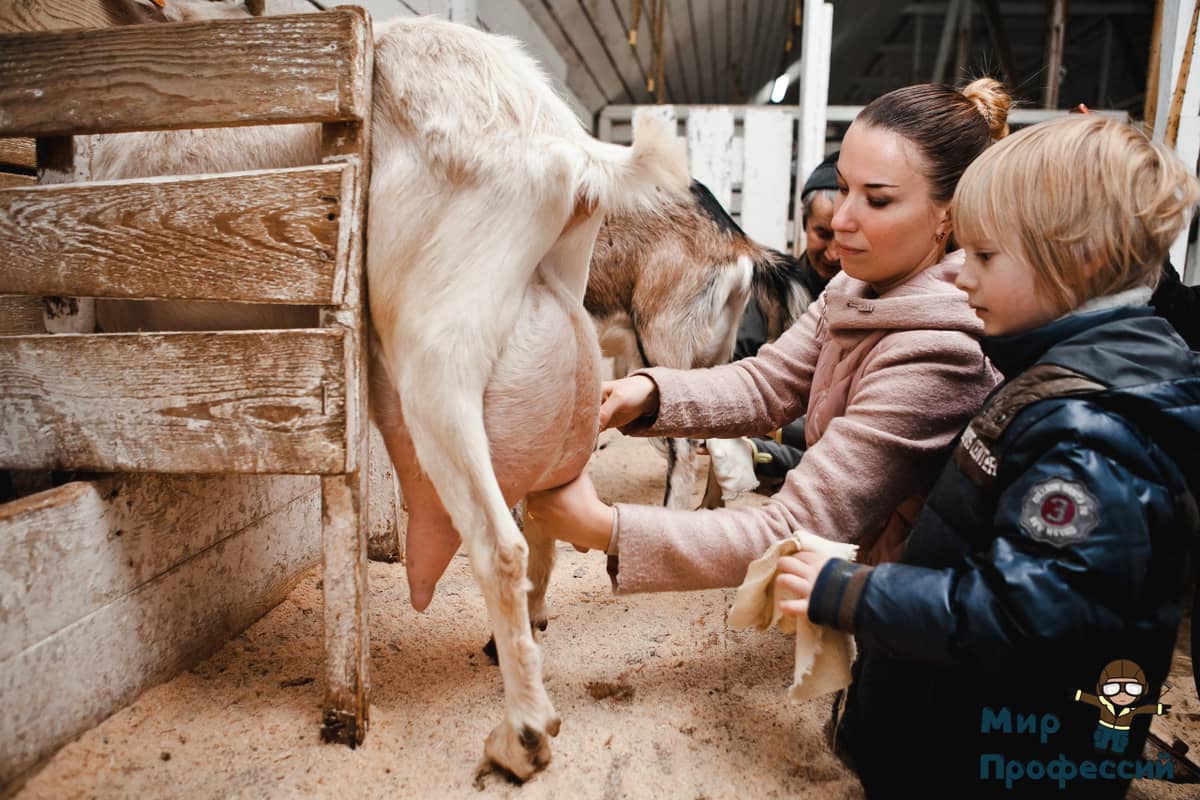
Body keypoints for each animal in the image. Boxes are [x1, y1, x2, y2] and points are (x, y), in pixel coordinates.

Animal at [99, 0, 691, 777]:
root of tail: (568, 151)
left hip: (437, 359)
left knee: (500, 542)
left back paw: (522, 737)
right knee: (541, 521)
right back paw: (521, 641)